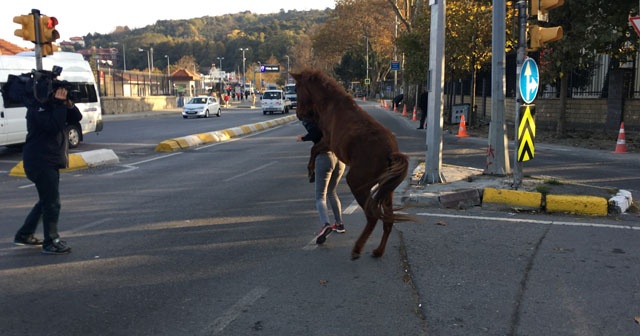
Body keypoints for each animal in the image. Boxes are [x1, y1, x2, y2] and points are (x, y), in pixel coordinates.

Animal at [292, 69, 412, 260]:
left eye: (296, 89)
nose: (298, 114)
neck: (331, 104)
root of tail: (390, 152)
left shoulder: (327, 142)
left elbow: (314, 149)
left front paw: (311, 172)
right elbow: (314, 149)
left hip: (357, 184)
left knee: (372, 217)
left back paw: (357, 249)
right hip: (387, 190)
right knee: (388, 220)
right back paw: (378, 251)